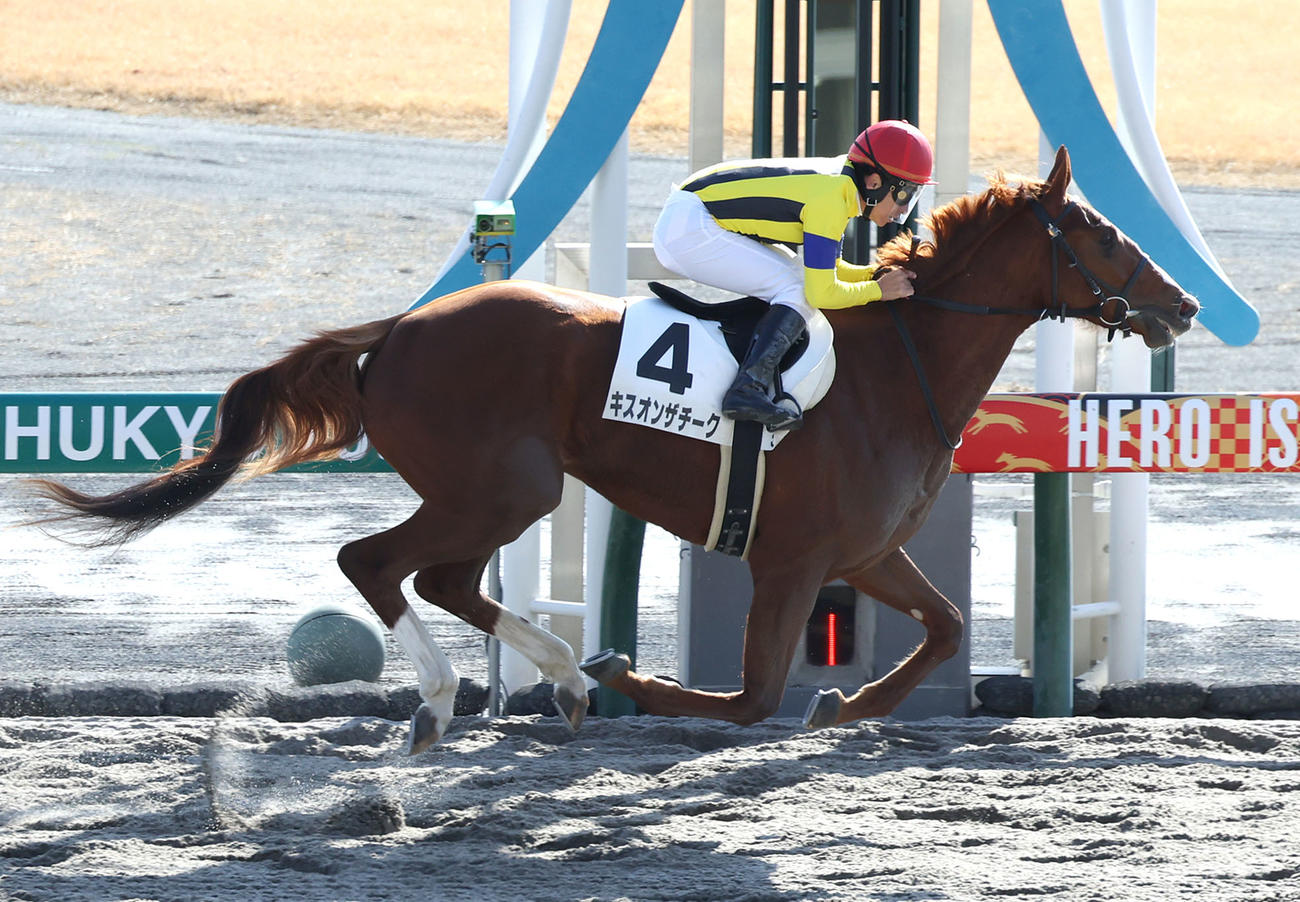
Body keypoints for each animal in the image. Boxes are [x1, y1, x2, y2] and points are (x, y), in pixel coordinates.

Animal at [28, 146, 1198, 754]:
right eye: (1100, 234)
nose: (1181, 304)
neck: (893, 366)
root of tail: (394, 333)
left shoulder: (865, 553)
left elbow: (945, 627)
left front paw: (845, 702)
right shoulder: (790, 561)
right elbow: (749, 697)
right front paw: (623, 665)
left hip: (504, 491)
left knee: (438, 577)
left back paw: (546, 680)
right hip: (502, 486)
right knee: (377, 562)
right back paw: (459, 695)